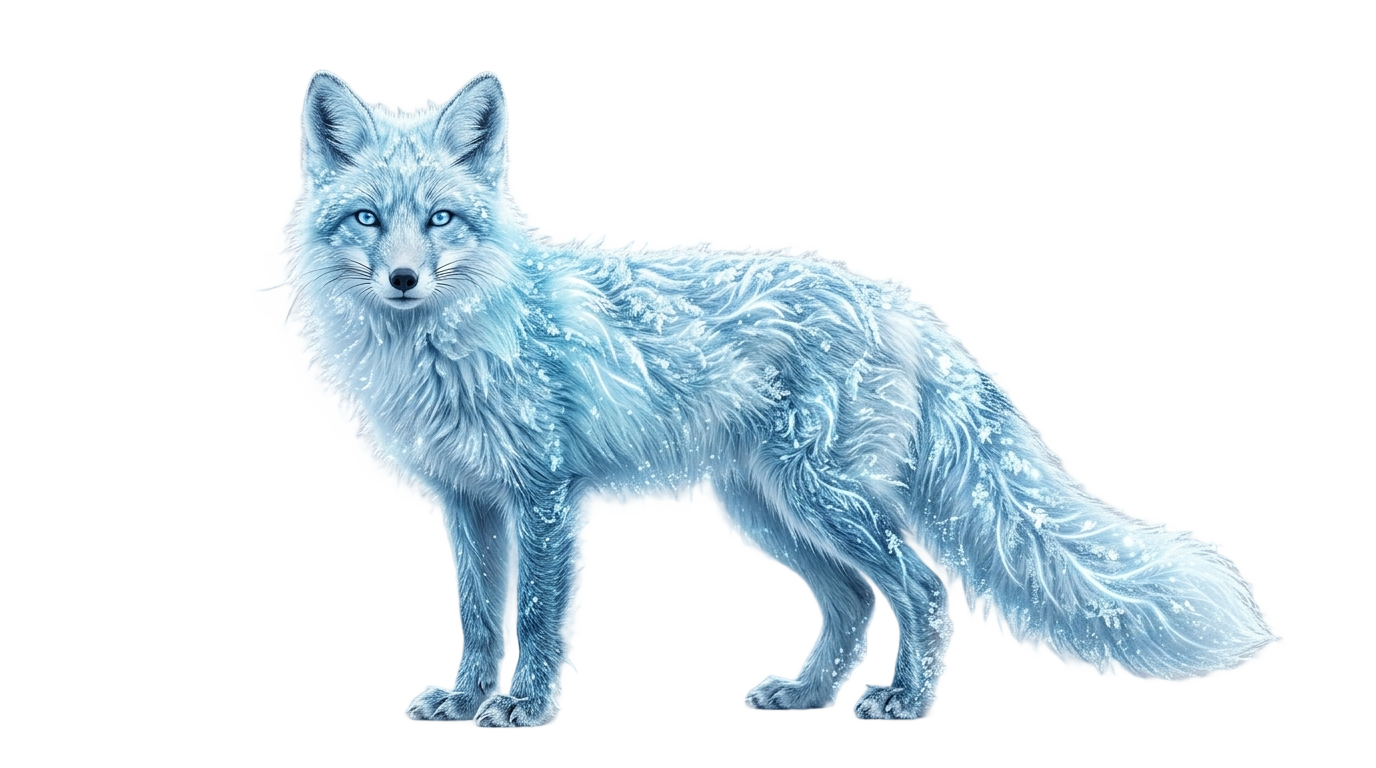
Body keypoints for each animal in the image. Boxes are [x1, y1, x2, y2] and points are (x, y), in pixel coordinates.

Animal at [290, 71, 1272, 726]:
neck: (445, 354)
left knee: (919, 584)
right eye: (368, 219)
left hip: (819, 496)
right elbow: (472, 614)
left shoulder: (542, 496)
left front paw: (520, 706)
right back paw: (807, 692)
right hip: (767, 507)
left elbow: (531, 616)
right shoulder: (464, 500)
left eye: (442, 218)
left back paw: (902, 696)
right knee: (854, 600)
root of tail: (897, 305)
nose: (405, 279)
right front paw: (465, 697)